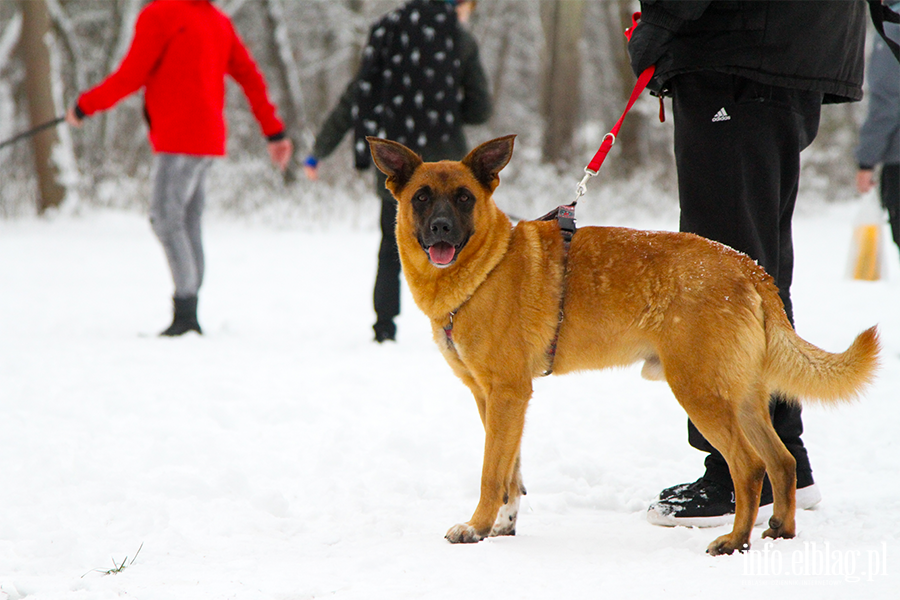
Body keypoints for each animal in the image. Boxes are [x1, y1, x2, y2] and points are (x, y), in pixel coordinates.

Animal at [366, 134, 880, 556]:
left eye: (464, 198)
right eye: (422, 198)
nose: (441, 229)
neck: (487, 265)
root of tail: (747, 266)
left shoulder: (508, 395)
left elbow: (492, 473)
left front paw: (475, 528)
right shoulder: (492, 399)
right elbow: (511, 471)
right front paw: (502, 525)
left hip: (699, 391)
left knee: (750, 467)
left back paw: (735, 539)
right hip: (743, 396)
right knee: (782, 461)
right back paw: (780, 530)